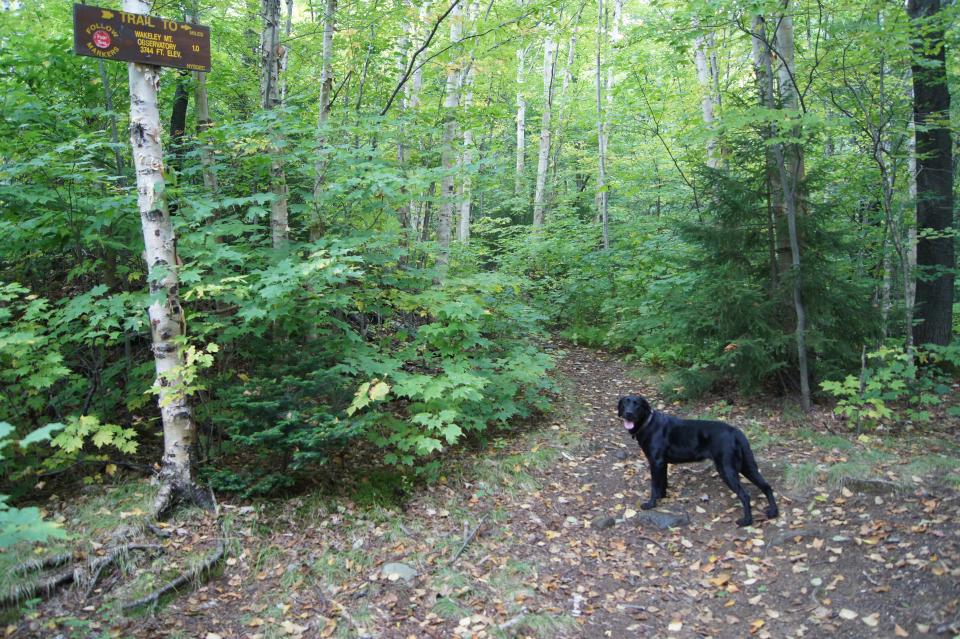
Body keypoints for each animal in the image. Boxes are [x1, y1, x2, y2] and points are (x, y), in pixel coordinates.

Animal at [616, 398, 780, 528]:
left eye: (637, 405)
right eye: (625, 403)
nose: (628, 413)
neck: (648, 424)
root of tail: (735, 431)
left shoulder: (656, 462)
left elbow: (654, 486)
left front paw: (651, 504)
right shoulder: (663, 464)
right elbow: (663, 483)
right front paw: (662, 497)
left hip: (726, 468)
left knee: (745, 496)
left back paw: (746, 521)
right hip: (747, 466)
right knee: (767, 486)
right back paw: (773, 512)